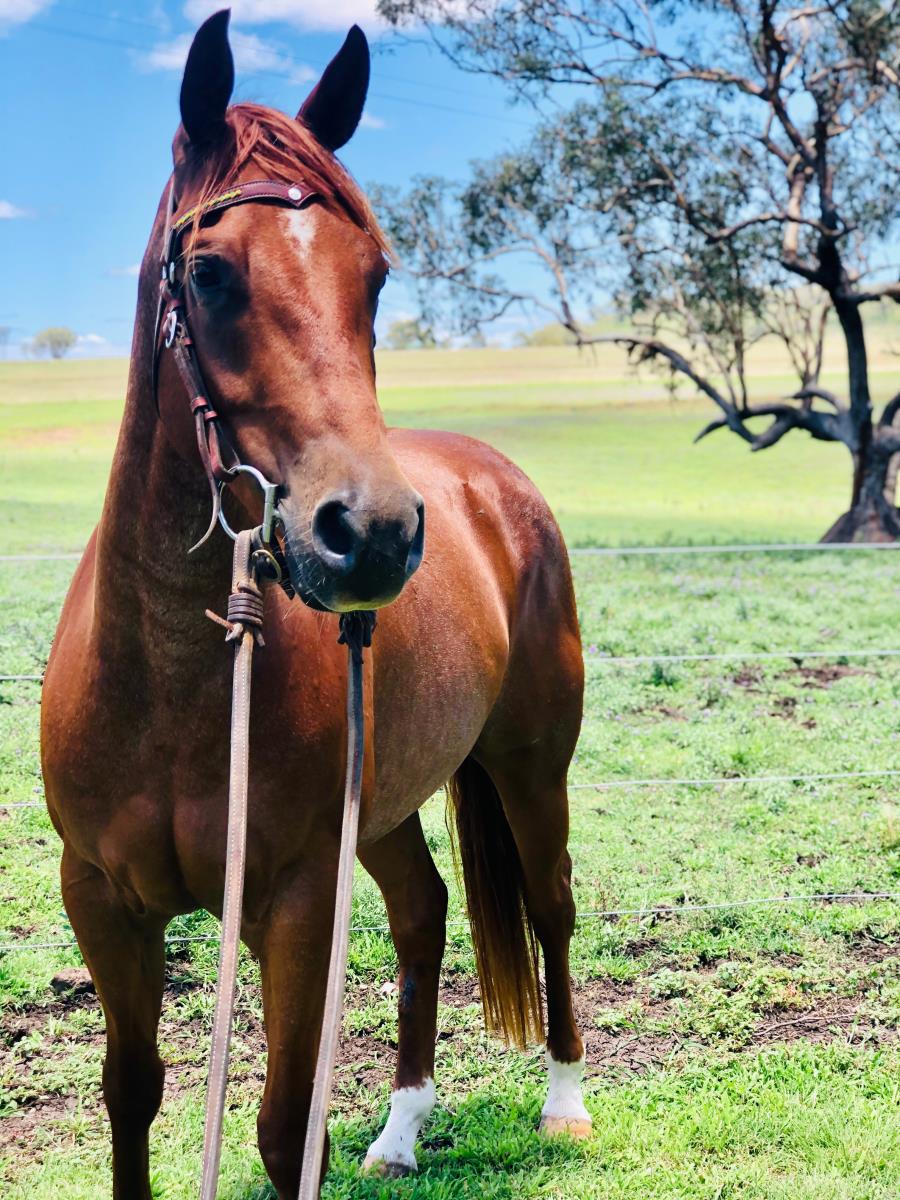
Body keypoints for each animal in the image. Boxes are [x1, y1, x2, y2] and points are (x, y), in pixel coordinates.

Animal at [40, 12, 591, 1198]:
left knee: (554, 905)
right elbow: (130, 1094)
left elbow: (287, 1122)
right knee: (425, 915)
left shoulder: (293, 901)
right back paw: (402, 1128)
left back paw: (566, 1103)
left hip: (531, 766)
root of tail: (496, 480)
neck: (170, 679)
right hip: (381, 812)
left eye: (374, 276)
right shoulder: (101, 899)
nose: (372, 531)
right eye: (208, 274)